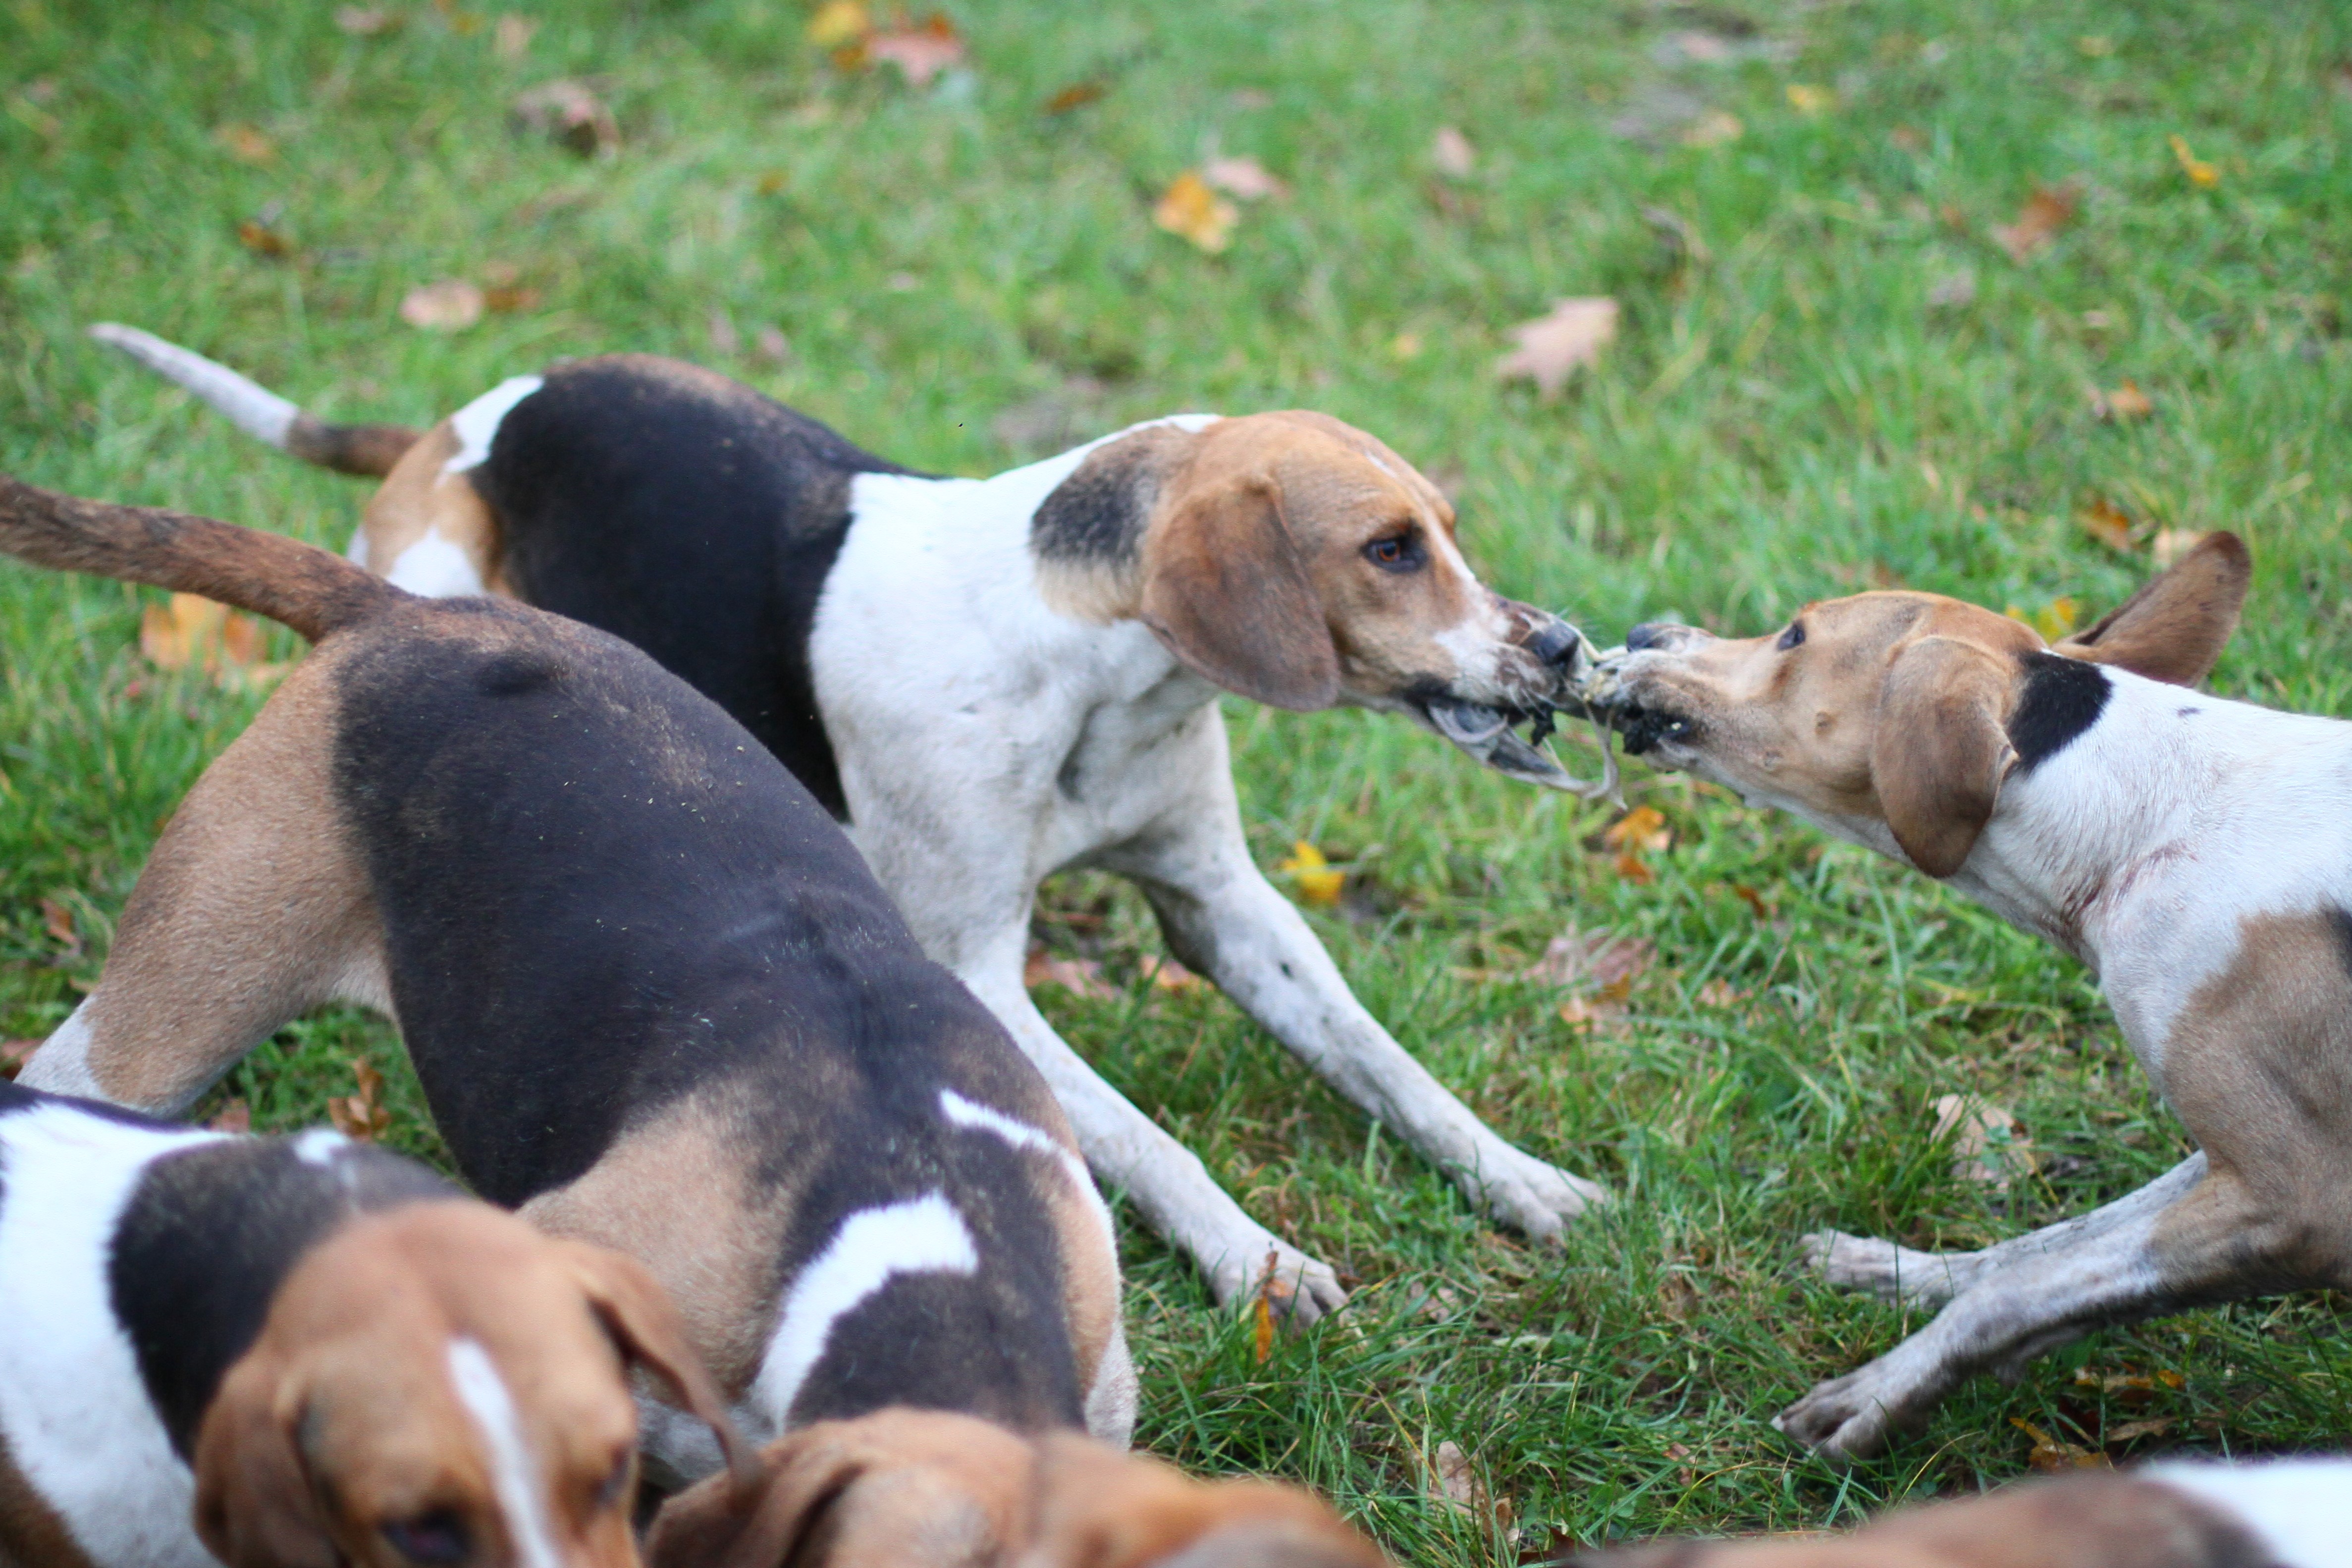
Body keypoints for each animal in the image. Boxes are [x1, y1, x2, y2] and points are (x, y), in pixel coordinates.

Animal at [88, 323, 1609, 1315]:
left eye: (1446, 529)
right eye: (1387, 550)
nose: (1559, 648)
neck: (1086, 662)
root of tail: (460, 425)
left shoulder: (1226, 903)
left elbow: (1388, 1066)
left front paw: (1520, 1180)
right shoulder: (980, 975)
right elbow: (1140, 1138)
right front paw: (1255, 1258)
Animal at [1586, 535, 2352, 1458]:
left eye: (1795, 636)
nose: (1642, 634)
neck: (2145, 816)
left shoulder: (2301, 1199)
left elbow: (2014, 1293)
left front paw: (1881, 1394)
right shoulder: (2227, 1157)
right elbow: (2039, 1251)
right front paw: (1899, 1272)